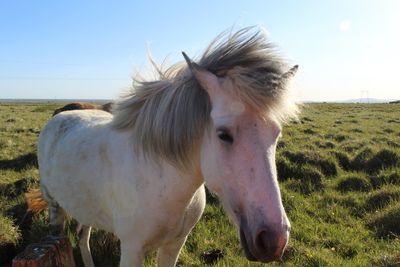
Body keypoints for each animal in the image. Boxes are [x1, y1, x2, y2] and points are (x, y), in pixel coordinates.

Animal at [37, 27, 298, 267]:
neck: (164, 183)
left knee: (83, 236)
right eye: (223, 135)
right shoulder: (131, 248)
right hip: (55, 210)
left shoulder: (175, 244)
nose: (273, 240)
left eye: (276, 134)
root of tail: (59, 117)